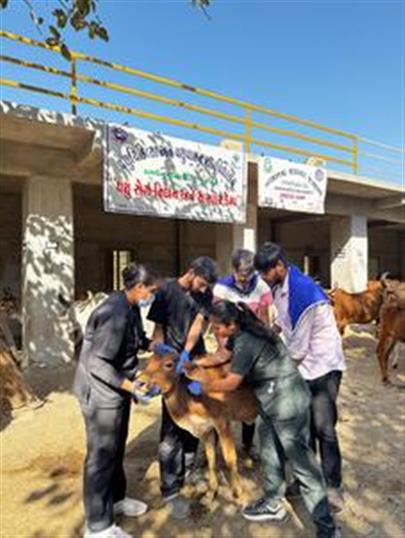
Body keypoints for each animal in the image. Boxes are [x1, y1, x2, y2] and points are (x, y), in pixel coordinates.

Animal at [136, 348, 256, 502]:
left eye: (168, 364)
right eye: (149, 361)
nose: (139, 382)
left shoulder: (222, 422)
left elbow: (229, 457)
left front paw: (237, 492)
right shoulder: (206, 429)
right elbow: (211, 459)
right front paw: (210, 493)